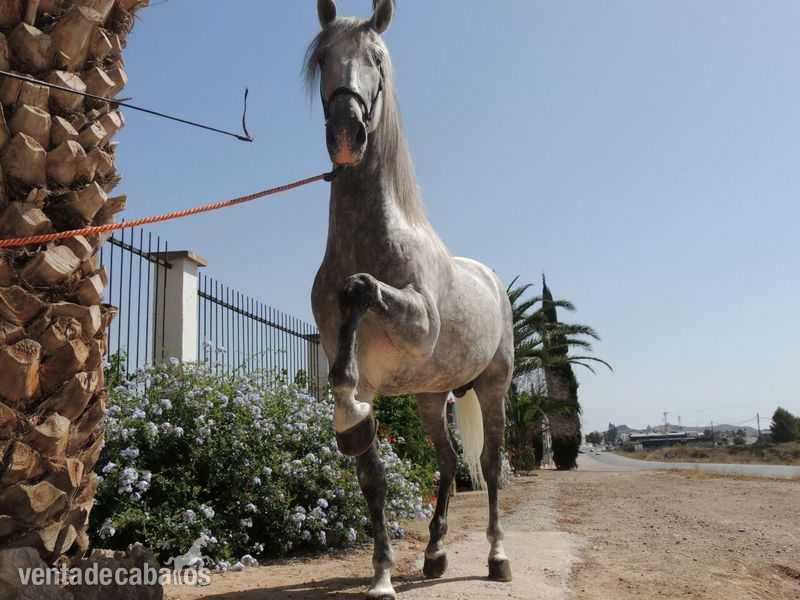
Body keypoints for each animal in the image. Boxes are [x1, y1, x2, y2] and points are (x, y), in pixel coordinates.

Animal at [307, 1, 514, 598]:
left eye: (376, 58)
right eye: (322, 58)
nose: (346, 131)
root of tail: (492, 279)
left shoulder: (419, 325)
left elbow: (360, 288)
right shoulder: (375, 384)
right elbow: (372, 478)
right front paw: (382, 576)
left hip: (494, 386)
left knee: (490, 464)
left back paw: (497, 557)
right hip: (428, 396)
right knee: (447, 462)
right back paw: (436, 554)